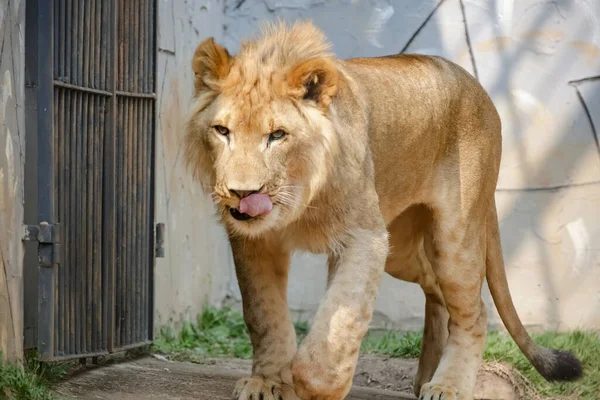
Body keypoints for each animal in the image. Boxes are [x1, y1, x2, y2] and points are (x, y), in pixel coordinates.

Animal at [185, 21, 584, 400]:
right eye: (222, 130)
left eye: (278, 135)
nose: (242, 194)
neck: (298, 196)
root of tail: (478, 87)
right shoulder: (255, 243)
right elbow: (264, 315)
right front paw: (266, 382)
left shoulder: (364, 237)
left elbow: (340, 320)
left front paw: (319, 386)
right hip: (401, 248)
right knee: (435, 288)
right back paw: (426, 377)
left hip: (453, 237)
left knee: (473, 311)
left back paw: (448, 385)